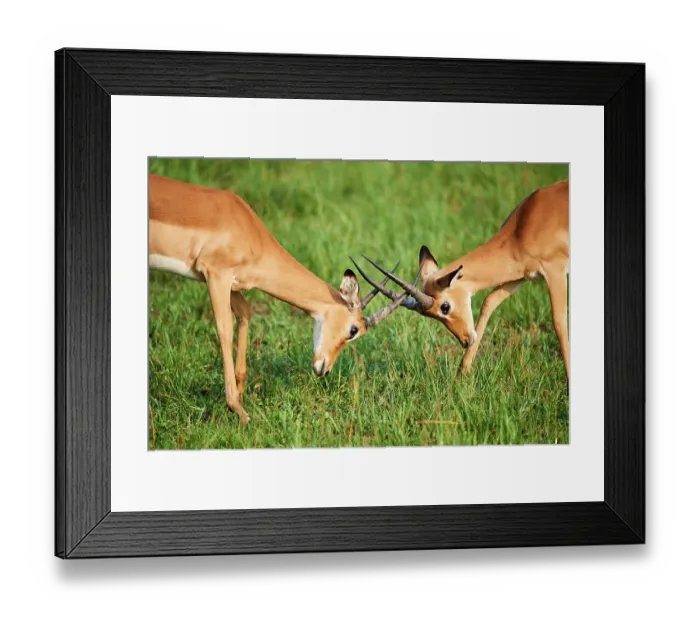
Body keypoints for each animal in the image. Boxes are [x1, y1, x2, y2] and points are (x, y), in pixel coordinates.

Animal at [148, 174, 408, 424]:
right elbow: (225, 329)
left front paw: (240, 395)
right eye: (353, 330)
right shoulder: (217, 275)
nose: (324, 370)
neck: (246, 228)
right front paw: (238, 410)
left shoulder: (229, 284)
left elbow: (245, 313)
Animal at [352, 179, 570, 380]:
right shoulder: (521, 275)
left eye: (445, 307)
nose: (465, 341)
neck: (523, 227)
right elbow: (489, 302)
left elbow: (559, 321)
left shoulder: (555, 271)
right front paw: (462, 373)